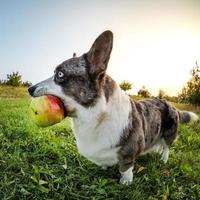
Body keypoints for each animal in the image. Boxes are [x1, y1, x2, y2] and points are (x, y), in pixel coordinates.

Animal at [28, 30, 198, 185]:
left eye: (60, 74)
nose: (30, 89)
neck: (94, 115)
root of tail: (172, 106)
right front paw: (103, 168)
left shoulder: (129, 152)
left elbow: (125, 167)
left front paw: (126, 181)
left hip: (170, 132)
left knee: (167, 147)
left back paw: (163, 159)